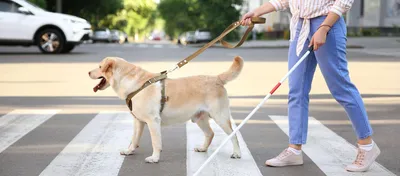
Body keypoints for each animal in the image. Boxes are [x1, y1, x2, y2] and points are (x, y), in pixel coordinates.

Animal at [88, 55, 244, 163]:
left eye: (99, 66)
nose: (88, 72)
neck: (133, 83)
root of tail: (217, 78)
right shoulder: (138, 121)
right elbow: (134, 139)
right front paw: (129, 151)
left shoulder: (153, 121)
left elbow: (156, 142)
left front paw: (154, 158)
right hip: (200, 118)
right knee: (210, 133)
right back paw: (203, 148)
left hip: (220, 117)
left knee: (234, 135)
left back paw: (237, 153)